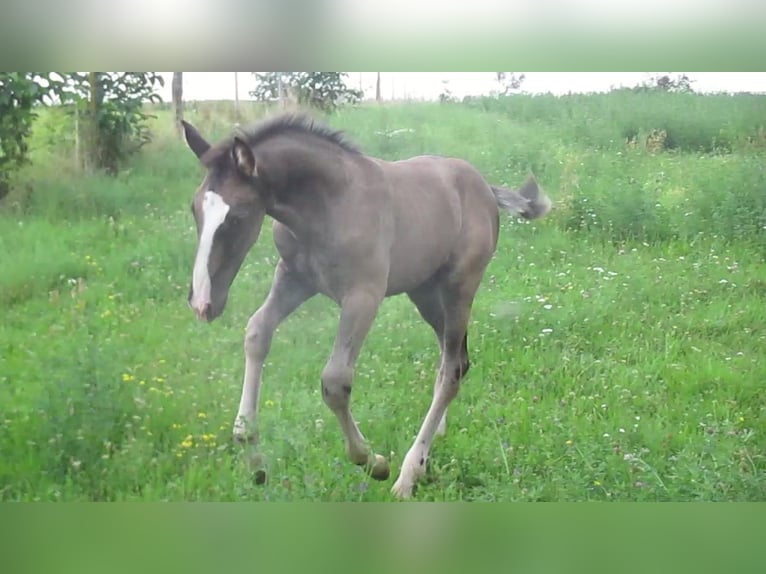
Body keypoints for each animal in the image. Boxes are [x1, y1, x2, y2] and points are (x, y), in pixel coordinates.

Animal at [182, 113, 552, 500]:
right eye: (194, 209)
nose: (202, 303)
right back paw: (433, 439)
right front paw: (252, 454)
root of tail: (484, 187)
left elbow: (335, 381)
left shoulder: (363, 295)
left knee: (451, 370)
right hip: (423, 292)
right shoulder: (294, 280)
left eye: (237, 216)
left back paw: (409, 474)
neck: (328, 205)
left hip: (459, 287)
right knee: (456, 361)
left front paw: (373, 462)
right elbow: (257, 333)